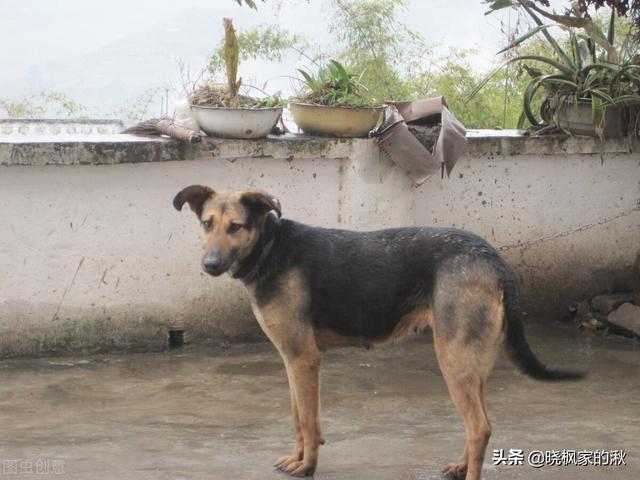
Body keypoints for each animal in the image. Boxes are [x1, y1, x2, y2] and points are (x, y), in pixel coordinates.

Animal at [172, 186, 584, 480]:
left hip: (452, 358)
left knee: (480, 426)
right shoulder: (291, 359)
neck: (270, 247)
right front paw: (299, 456)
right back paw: (460, 465)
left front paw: (308, 466)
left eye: (236, 227)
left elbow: (307, 420)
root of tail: (492, 256)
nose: (209, 265)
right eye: (207, 224)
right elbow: (299, 417)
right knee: (480, 422)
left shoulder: (304, 359)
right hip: (470, 359)